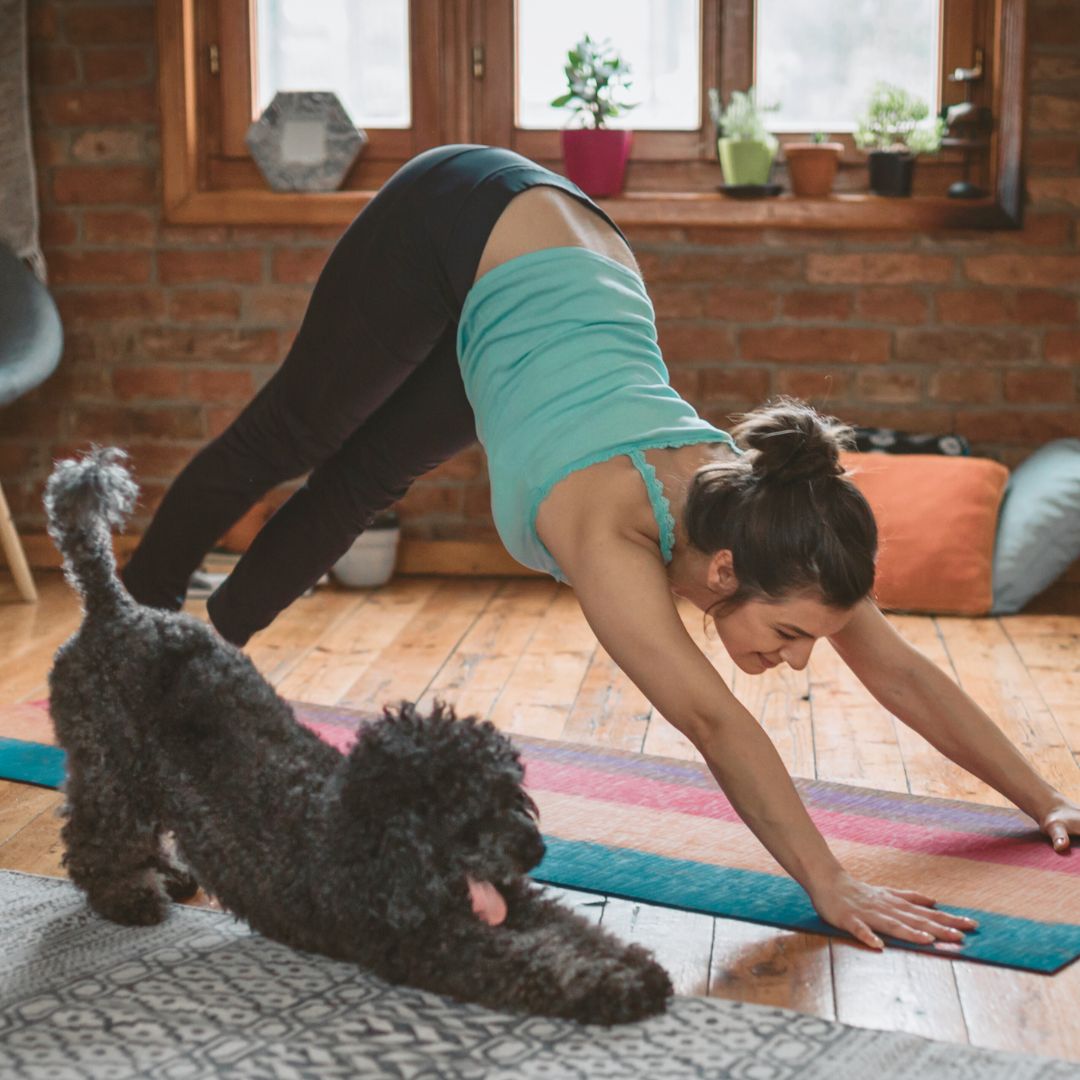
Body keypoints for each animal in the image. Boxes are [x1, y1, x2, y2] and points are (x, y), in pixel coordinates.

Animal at [46, 451, 669, 1023]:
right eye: (468, 813)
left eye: (514, 796)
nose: (536, 850)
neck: (370, 838)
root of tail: (113, 607)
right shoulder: (435, 944)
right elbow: (536, 964)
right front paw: (615, 987)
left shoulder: (513, 899)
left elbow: (574, 928)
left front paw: (632, 962)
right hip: (109, 765)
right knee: (94, 840)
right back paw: (128, 896)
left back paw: (169, 874)